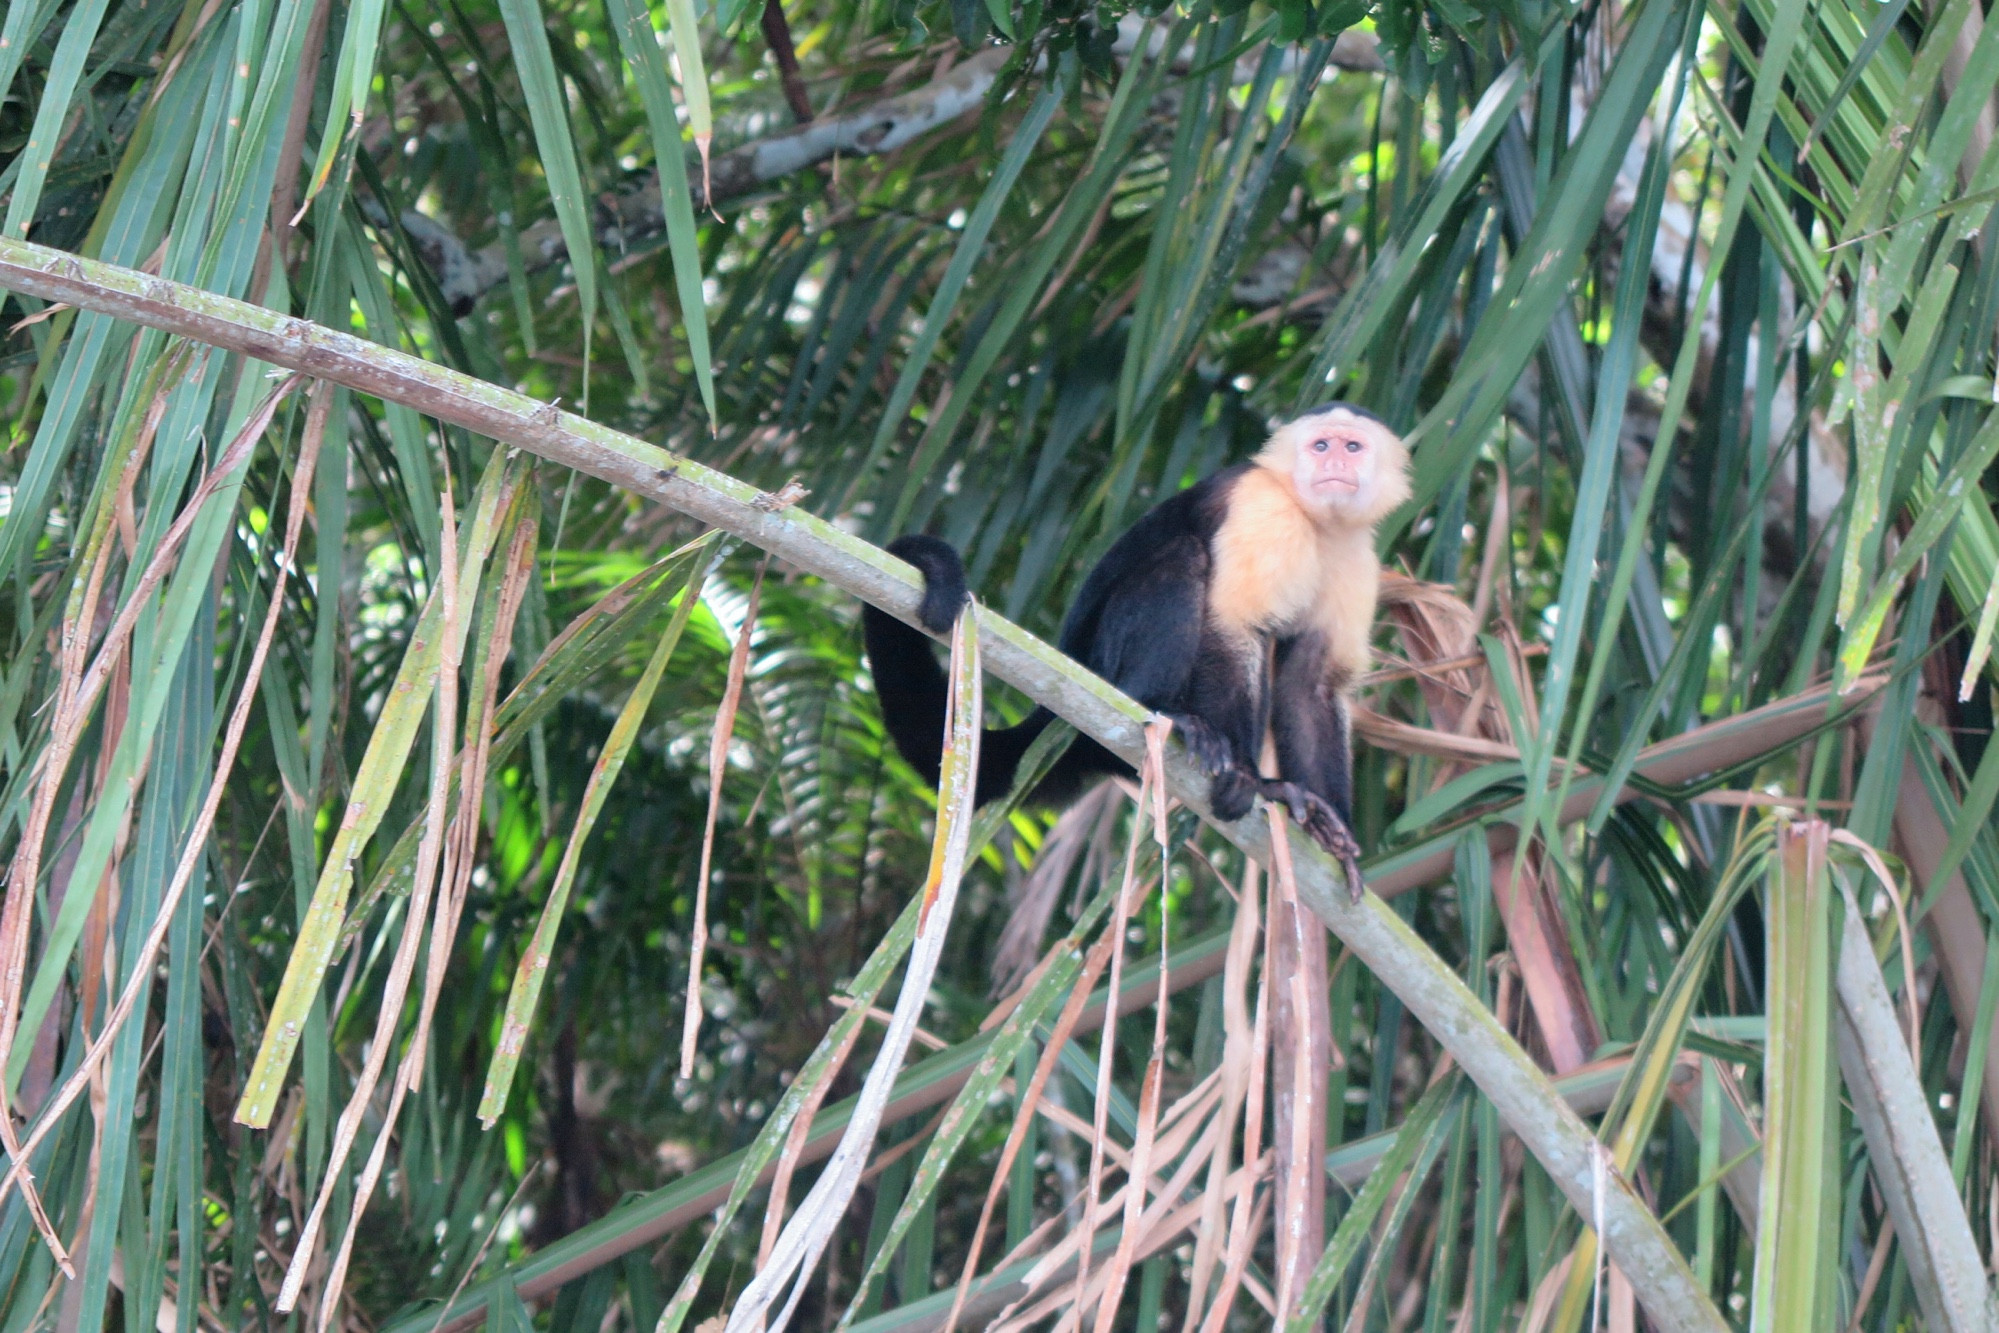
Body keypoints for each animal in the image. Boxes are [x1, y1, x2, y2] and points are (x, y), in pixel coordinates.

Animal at [867, 395, 1415, 895]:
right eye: (1320, 446)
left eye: (1352, 447)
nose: (1335, 464)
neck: (1313, 518)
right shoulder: (1263, 508)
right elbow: (1233, 628)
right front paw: (1250, 778)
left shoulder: (1357, 551)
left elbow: (1311, 684)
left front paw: (1330, 834)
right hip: (1104, 667)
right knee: (1184, 556)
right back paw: (1164, 713)